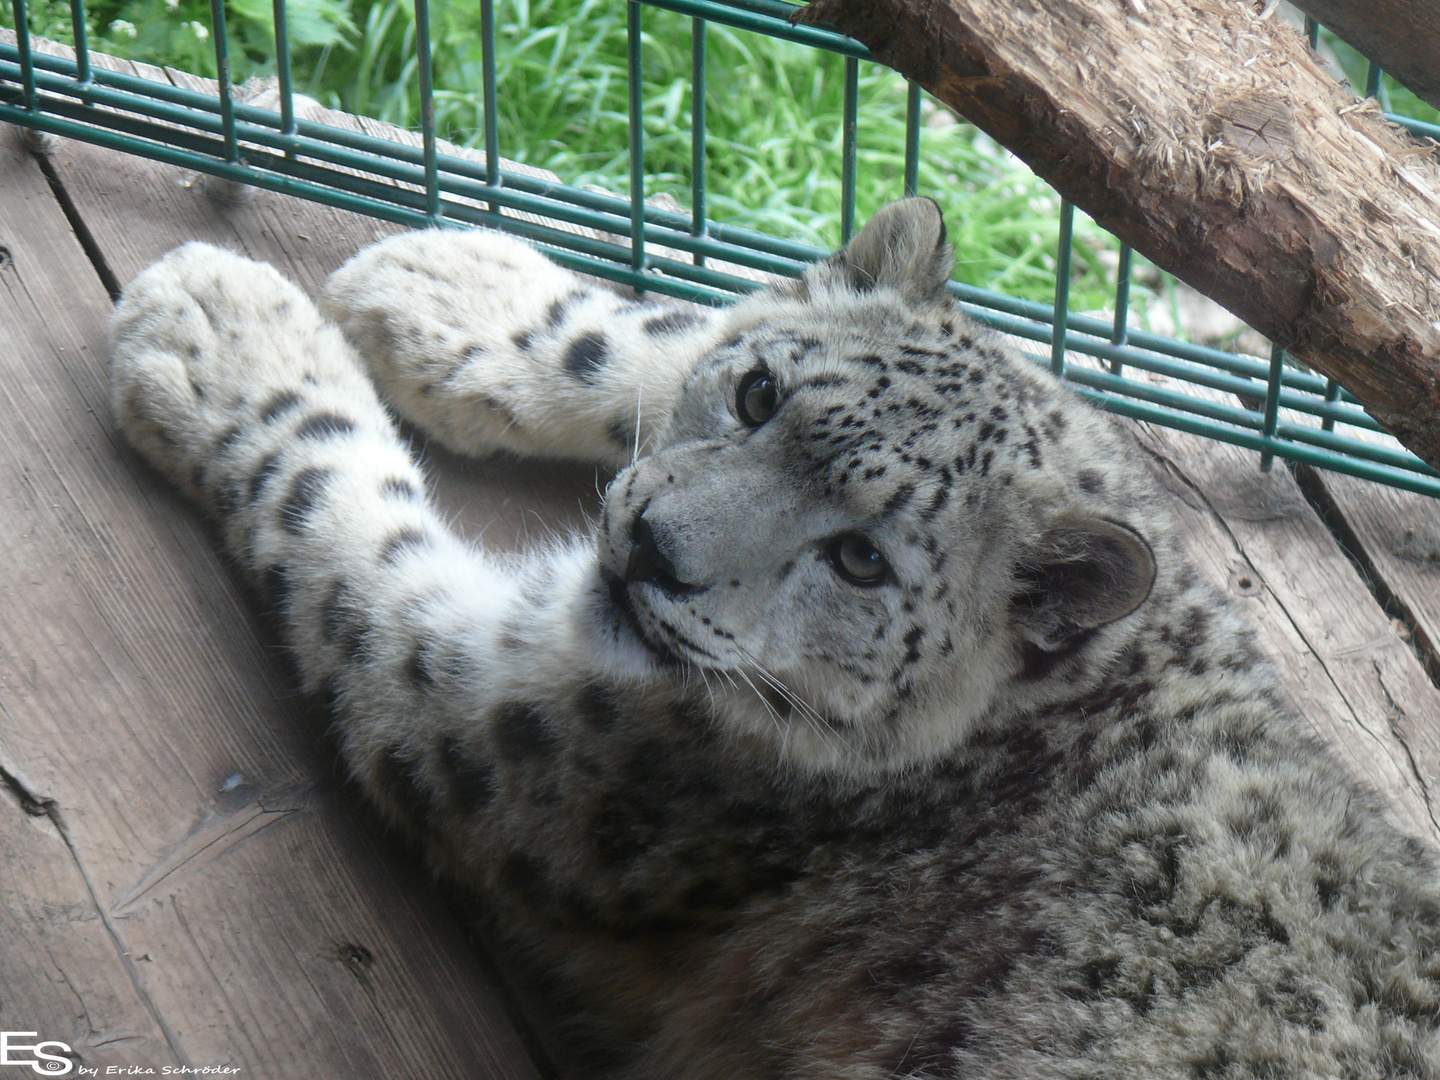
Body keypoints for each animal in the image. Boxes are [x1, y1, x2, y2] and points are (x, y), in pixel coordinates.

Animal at [109, 201, 1440, 1077]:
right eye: (757, 396)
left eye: (862, 561)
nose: (653, 548)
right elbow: (669, 328)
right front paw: (447, 287)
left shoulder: (515, 729)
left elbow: (333, 516)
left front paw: (215, 327)